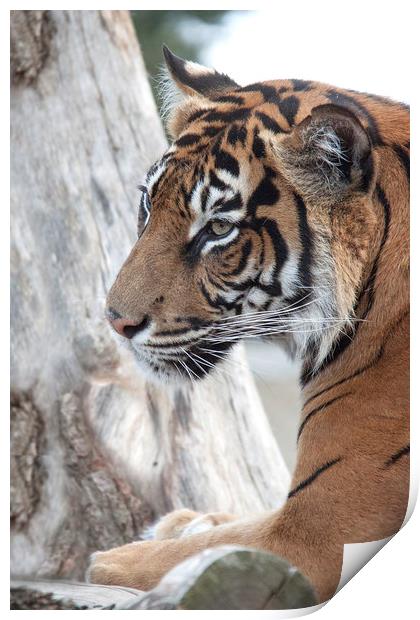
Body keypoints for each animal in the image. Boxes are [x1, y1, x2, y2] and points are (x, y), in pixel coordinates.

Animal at [86, 44, 410, 604]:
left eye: (218, 228)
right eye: (148, 204)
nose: (116, 321)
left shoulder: (318, 534)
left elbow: (193, 554)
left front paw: (111, 557)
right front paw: (185, 521)